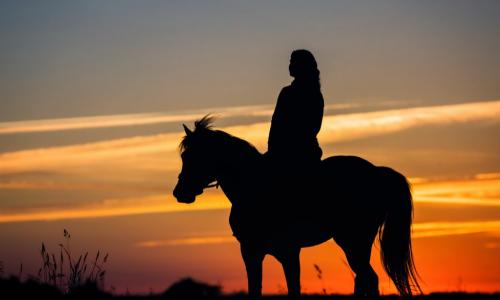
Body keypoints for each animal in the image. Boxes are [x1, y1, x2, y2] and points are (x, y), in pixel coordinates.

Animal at [174, 116, 420, 296]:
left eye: (193, 157)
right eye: (184, 156)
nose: (179, 193)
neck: (253, 186)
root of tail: (377, 172)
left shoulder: (285, 250)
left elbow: (292, 290)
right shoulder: (254, 251)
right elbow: (257, 289)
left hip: (353, 241)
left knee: (368, 278)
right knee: (365, 279)